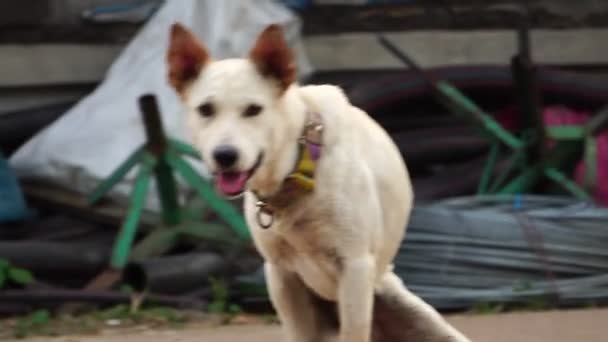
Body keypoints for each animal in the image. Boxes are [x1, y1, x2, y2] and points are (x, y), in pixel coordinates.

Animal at [166, 23, 470, 342]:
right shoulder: (281, 275)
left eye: (253, 109)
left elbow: (354, 330)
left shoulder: (355, 266)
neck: (300, 173)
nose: (224, 156)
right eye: (205, 110)